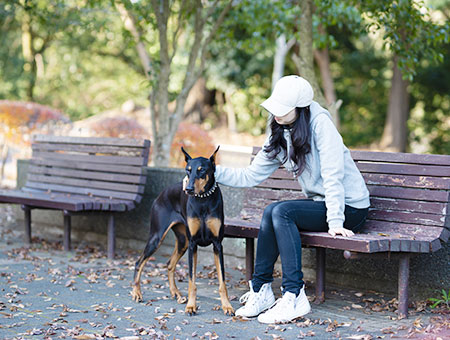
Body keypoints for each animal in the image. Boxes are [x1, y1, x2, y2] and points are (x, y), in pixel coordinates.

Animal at [130, 146, 234, 316]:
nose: (189, 189)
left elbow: (222, 281)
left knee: (169, 264)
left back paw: (176, 293)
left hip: (182, 241)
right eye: (188, 170)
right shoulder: (193, 244)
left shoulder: (217, 244)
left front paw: (227, 306)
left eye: (201, 170)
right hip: (158, 237)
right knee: (139, 262)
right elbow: (192, 281)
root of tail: (161, 193)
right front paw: (191, 307)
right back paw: (137, 293)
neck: (203, 199)